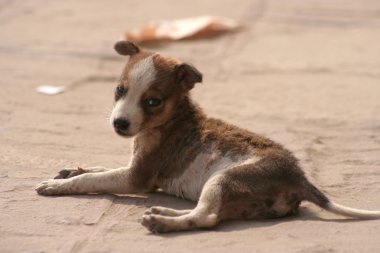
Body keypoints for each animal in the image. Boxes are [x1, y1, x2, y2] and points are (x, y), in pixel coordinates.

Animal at [35, 41, 380, 233]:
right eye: (120, 90)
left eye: (152, 101)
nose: (119, 123)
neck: (173, 118)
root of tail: (300, 178)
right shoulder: (133, 164)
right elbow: (98, 169)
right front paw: (71, 170)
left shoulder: (138, 177)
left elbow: (93, 179)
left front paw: (59, 185)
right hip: (235, 197)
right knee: (210, 215)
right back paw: (164, 213)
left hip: (224, 179)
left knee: (207, 218)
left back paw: (163, 222)